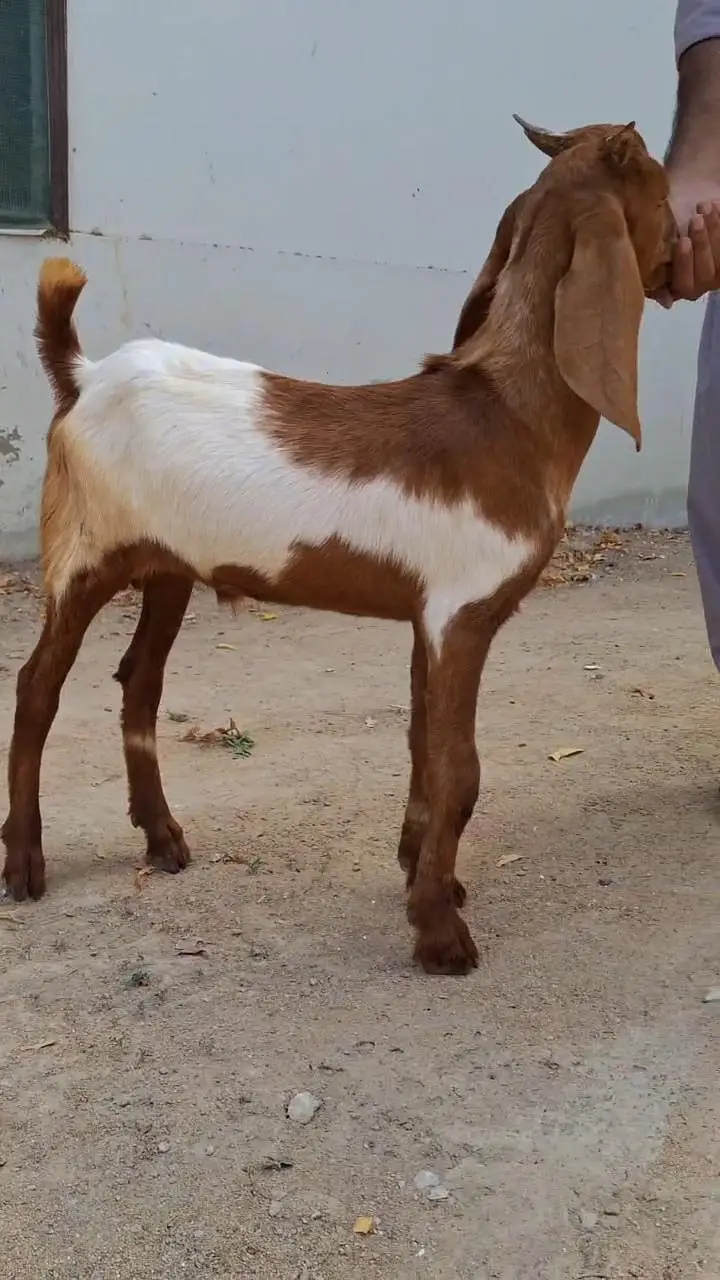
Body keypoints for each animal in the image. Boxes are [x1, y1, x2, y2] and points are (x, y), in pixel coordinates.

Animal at [0, 117, 672, 974]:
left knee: (139, 682)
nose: (691, 249)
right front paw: (440, 934)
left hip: (168, 564)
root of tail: (83, 377)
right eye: (662, 191)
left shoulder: (429, 615)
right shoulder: (462, 615)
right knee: (37, 690)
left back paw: (161, 837)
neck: (507, 416)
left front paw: (424, 876)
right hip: (85, 552)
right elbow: (459, 768)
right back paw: (25, 863)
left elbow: (424, 748)